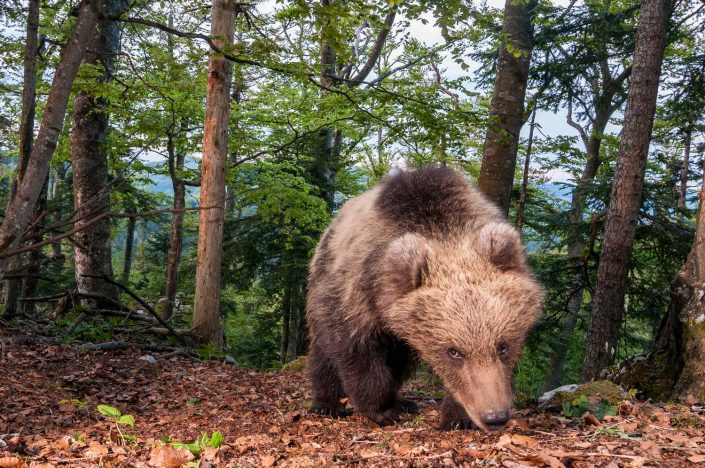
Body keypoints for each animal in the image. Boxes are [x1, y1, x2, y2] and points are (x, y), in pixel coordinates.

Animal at [306, 165, 540, 432]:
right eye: (453, 352)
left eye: (503, 345)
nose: (495, 417)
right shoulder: (358, 293)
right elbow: (354, 348)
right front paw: (379, 409)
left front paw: (458, 417)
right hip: (322, 277)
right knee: (323, 350)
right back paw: (327, 404)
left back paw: (402, 401)